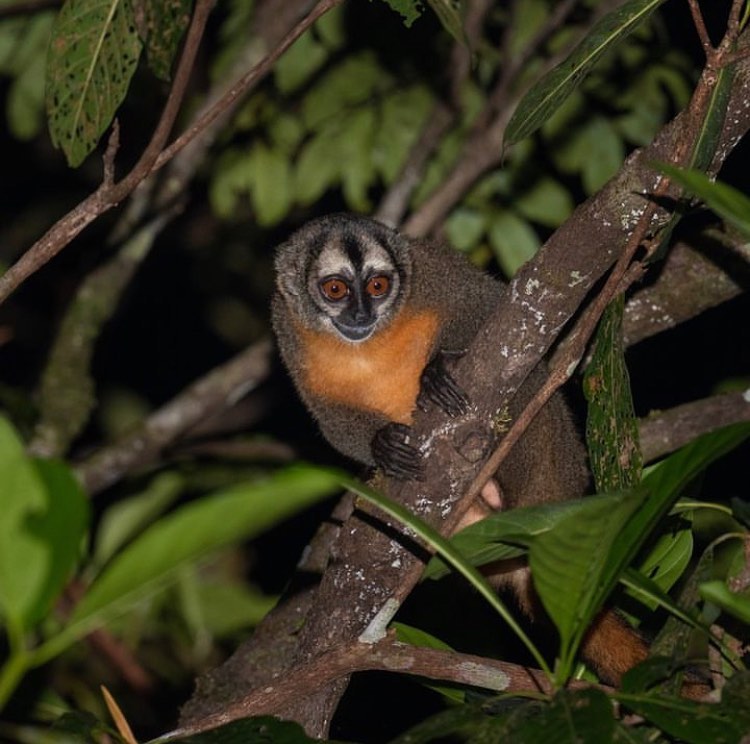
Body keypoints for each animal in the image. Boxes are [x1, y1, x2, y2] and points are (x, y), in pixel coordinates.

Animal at [271, 212, 648, 685]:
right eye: (336, 289)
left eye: (377, 285)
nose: (361, 313)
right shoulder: (289, 332)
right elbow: (328, 417)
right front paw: (382, 446)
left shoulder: (435, 272)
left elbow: (504, 313)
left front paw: (437, 367)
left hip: (553, 461)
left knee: (528, 388)